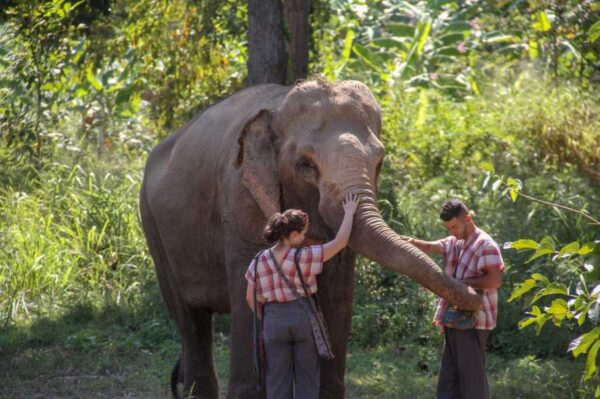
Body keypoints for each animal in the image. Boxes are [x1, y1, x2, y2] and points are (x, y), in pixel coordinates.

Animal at [139, 79, 478, 398]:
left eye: (379, 160)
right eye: (305, 165)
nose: (476, 293)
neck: (278, 108)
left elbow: (338, 294)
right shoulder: (239, 197)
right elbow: (249, 293)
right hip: (153, 225)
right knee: (189, 318)